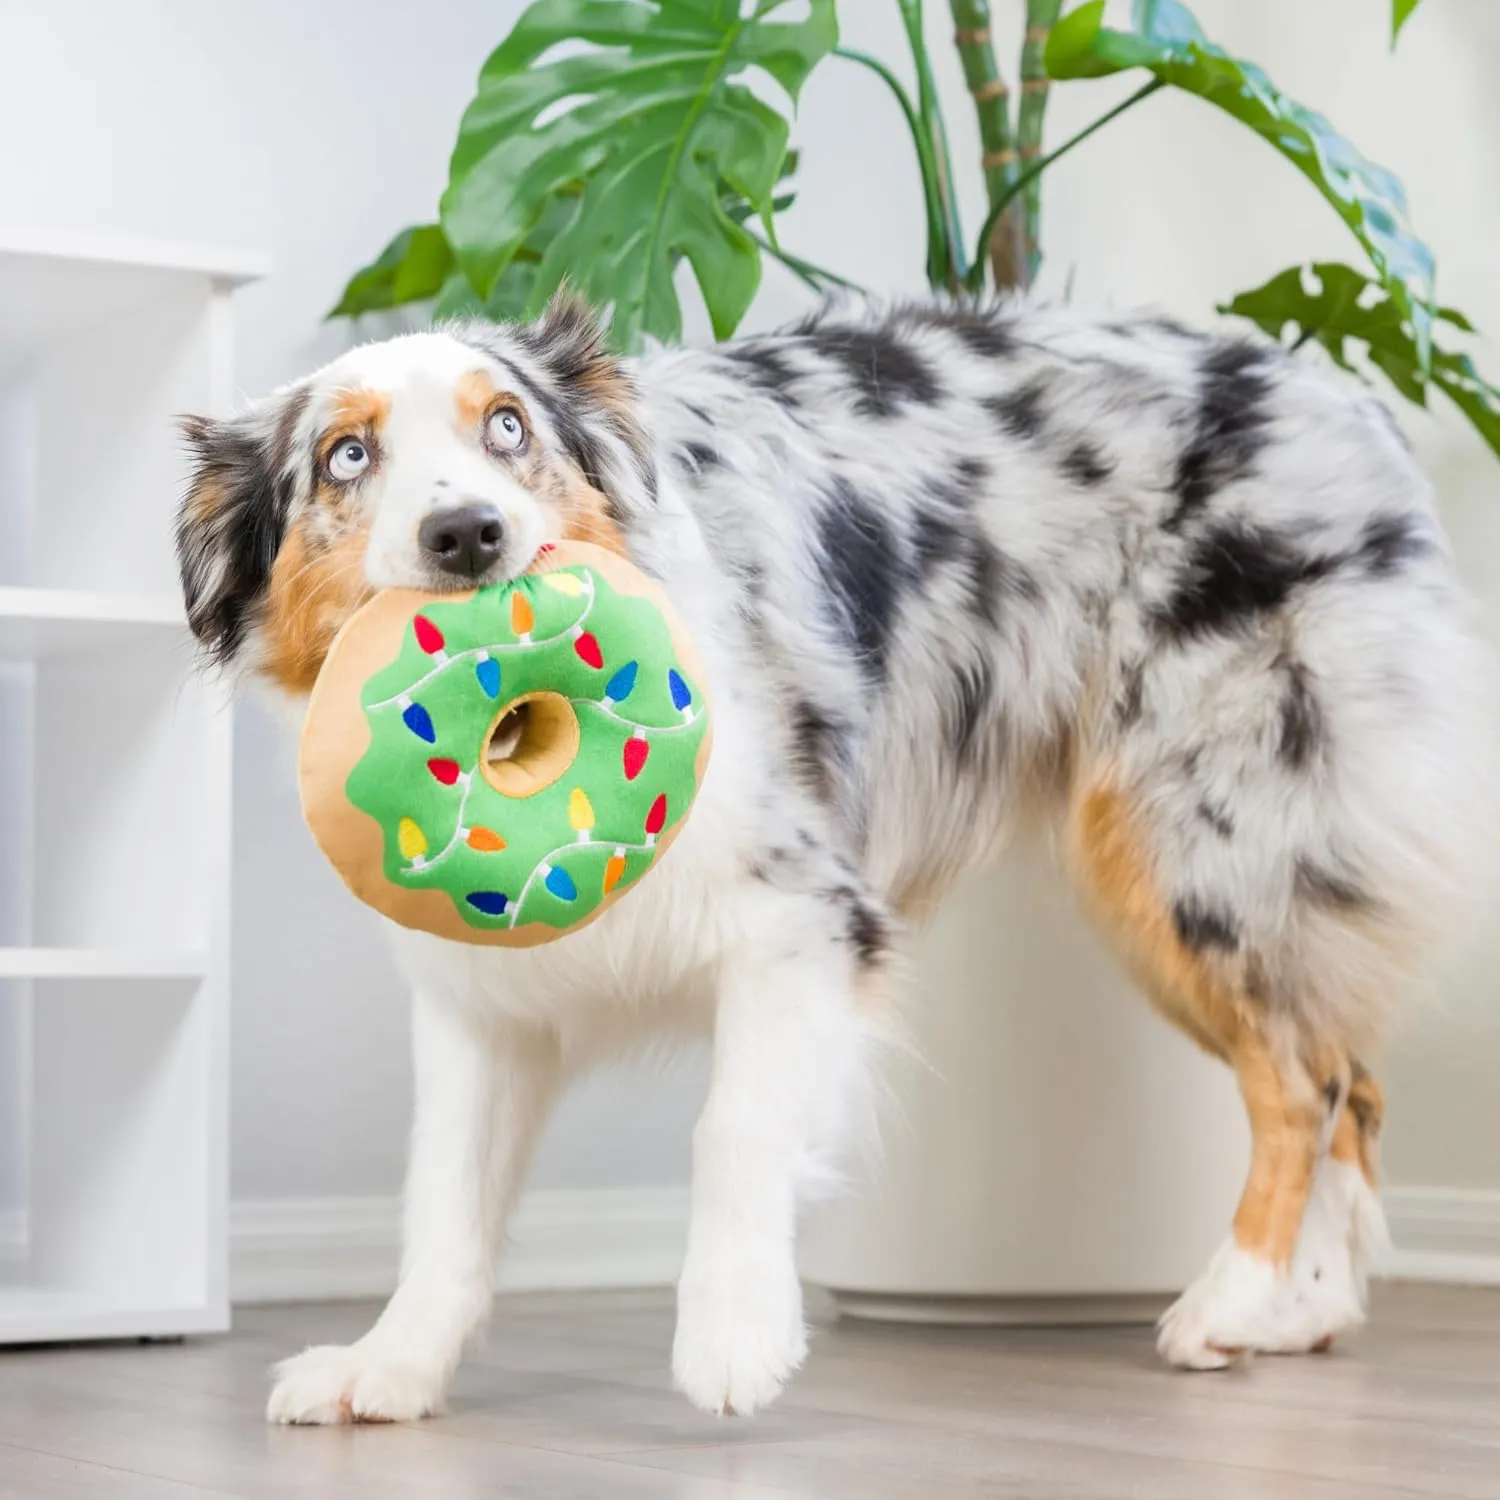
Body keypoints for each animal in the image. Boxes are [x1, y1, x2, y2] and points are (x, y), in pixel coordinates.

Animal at [172, 289, 1488, 1416]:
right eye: (347, 457)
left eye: (508, 426)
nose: (469, 533)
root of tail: (1343, 395)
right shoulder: (480, 999)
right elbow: (443, 1195)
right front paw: (389, 1367)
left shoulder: (800, 917)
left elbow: (734, 1127)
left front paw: (733, 1339)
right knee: (1352, 1079)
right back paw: (1306, 1312)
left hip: (1188, 840)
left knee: (1304, 1080)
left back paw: (1233, 1301)